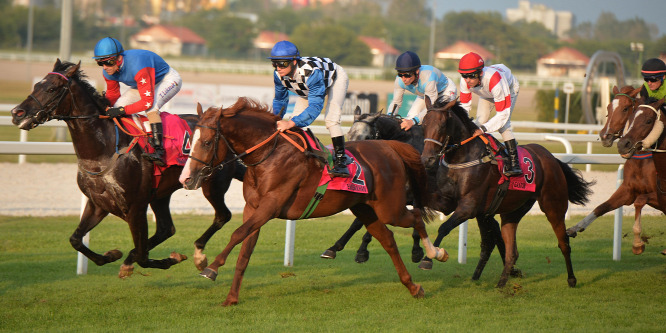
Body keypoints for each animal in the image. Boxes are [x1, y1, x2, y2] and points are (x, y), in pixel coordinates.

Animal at [9, 60, 244, 278]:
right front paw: (112, 255)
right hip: (161, 194)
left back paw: (199, 255)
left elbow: (142, 256)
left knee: (222, 216)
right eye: (36, 85)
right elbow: (76, 239)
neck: (102, 152)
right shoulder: (98, 204)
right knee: (166, 229)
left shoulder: (136, 207)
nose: (17, 113)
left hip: (212, 184)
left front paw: (168, 259)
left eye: (52, 89)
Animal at [180, 97, 446, 304]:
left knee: (415, 217)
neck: (269, 156)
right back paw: (413, 286)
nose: (186, 178)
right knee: (388, 239)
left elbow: (237, 234)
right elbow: (245, 250)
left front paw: (210, 268)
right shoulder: (253, 209)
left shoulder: (270, 205)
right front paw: (231, 298)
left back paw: (434, 253)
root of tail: (390, 147)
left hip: (390, 207)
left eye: (206, 142)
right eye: (191, 141)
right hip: (364, 207)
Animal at [420, 97, 592, 286]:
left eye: (442, 125)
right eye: (423, 124)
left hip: (553, 205)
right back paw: (502, 283)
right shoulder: (447, 202)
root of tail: (552, 158)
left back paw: (571, 279)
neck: (462, 158)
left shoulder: (469, 207)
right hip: (513, 211)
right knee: (511, 251)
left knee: (563, 243)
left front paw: (429, 259)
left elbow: (444, 227)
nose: (427, 160)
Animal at [564, 86, 660, 254]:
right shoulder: (628, 190)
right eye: (608, 107)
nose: (604, 136)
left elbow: (640, 202)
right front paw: (575, 228)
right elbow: (601, 207)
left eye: (626, 108)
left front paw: (638, 243)